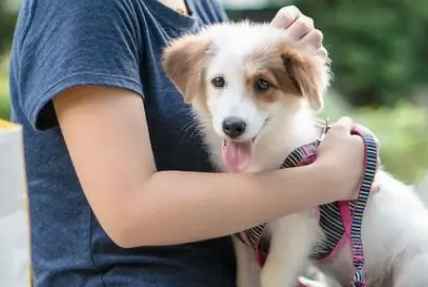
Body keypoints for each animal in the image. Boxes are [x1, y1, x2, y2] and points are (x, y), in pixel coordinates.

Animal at [162, 21, 428, 287]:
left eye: (262, 84)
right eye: (218, 81)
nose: (233, 126)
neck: (265, 157)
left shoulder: (295, 231)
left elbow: (271, 276)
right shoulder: (247, 240)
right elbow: (246, 278)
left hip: (413, 270)